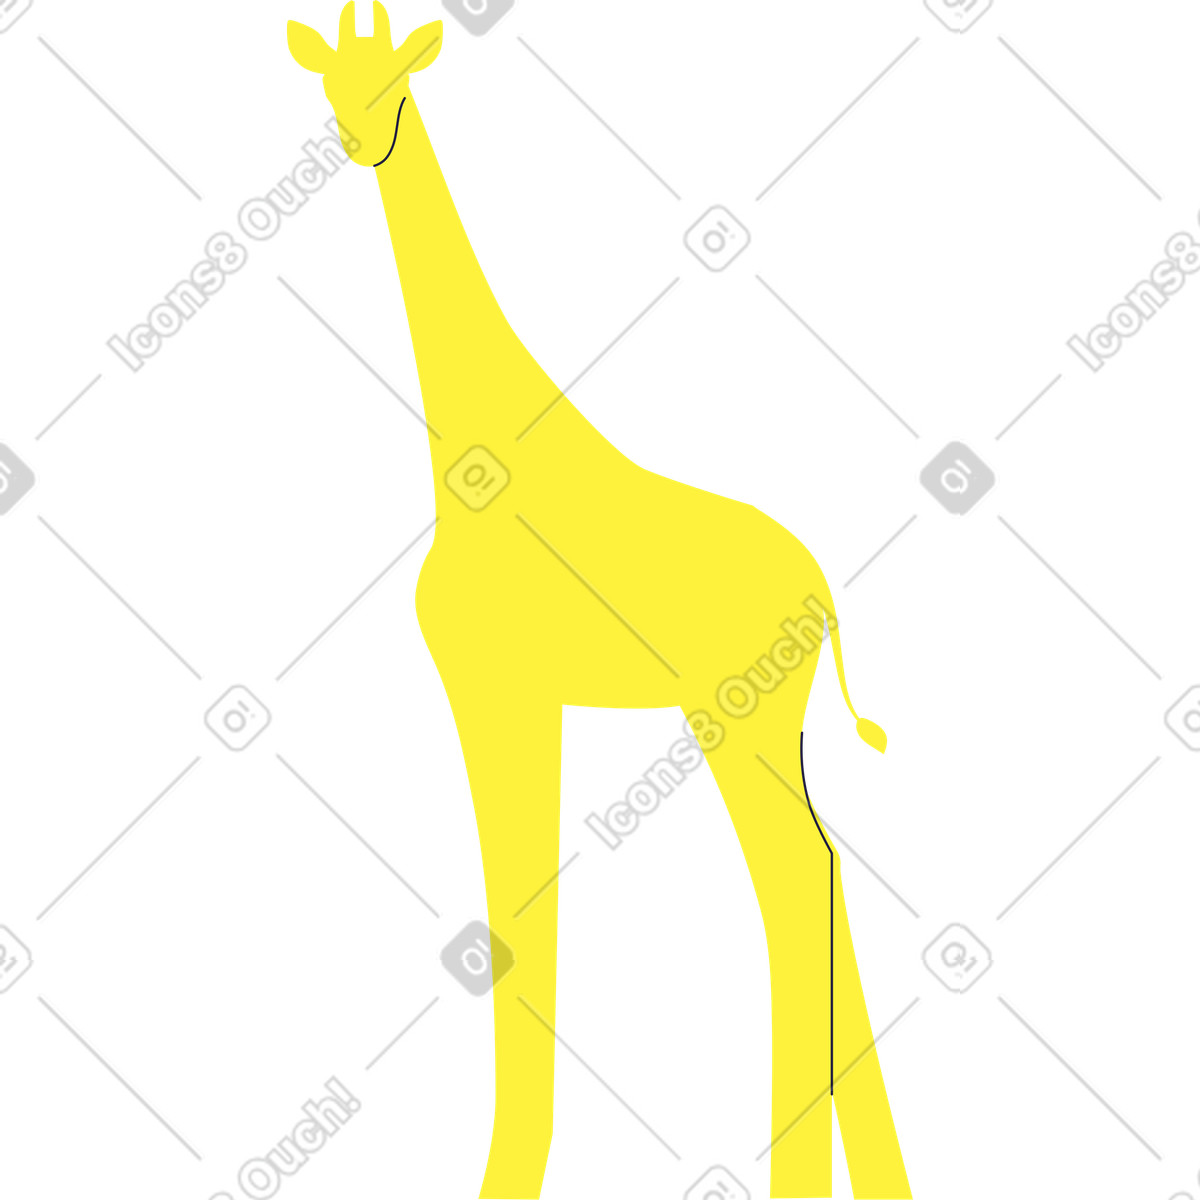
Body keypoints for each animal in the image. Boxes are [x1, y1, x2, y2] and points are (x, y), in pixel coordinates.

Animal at [288, 7, 911, 1197]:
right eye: (330, 85)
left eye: (399, 76)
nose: (361, 143)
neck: (475, 467)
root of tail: (822, 591)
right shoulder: (518, 700)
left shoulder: (498, 692)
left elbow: (514, 928)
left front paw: (503, 1177)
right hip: (778, 724)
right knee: (832, 871)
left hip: (731, 715)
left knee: (795, 877)